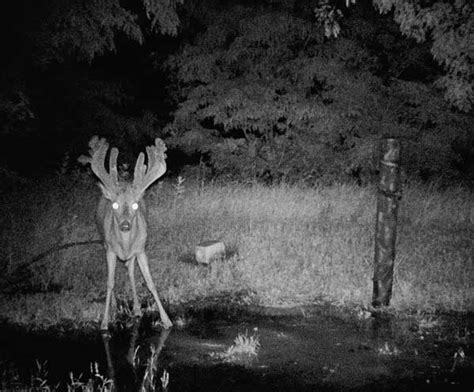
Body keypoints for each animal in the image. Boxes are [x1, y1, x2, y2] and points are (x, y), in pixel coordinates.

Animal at [79, 136, 172, 330]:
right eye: (114, 205)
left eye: (135, 205)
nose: (125, 225)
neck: (125, 244)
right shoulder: (110, 250)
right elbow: (110, 283)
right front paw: (104, 322)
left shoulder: (141, 249)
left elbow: (150, 282)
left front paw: (166, 320)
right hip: (103, 240)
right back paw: (115, 305)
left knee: (130, 270)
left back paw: (136, 308)